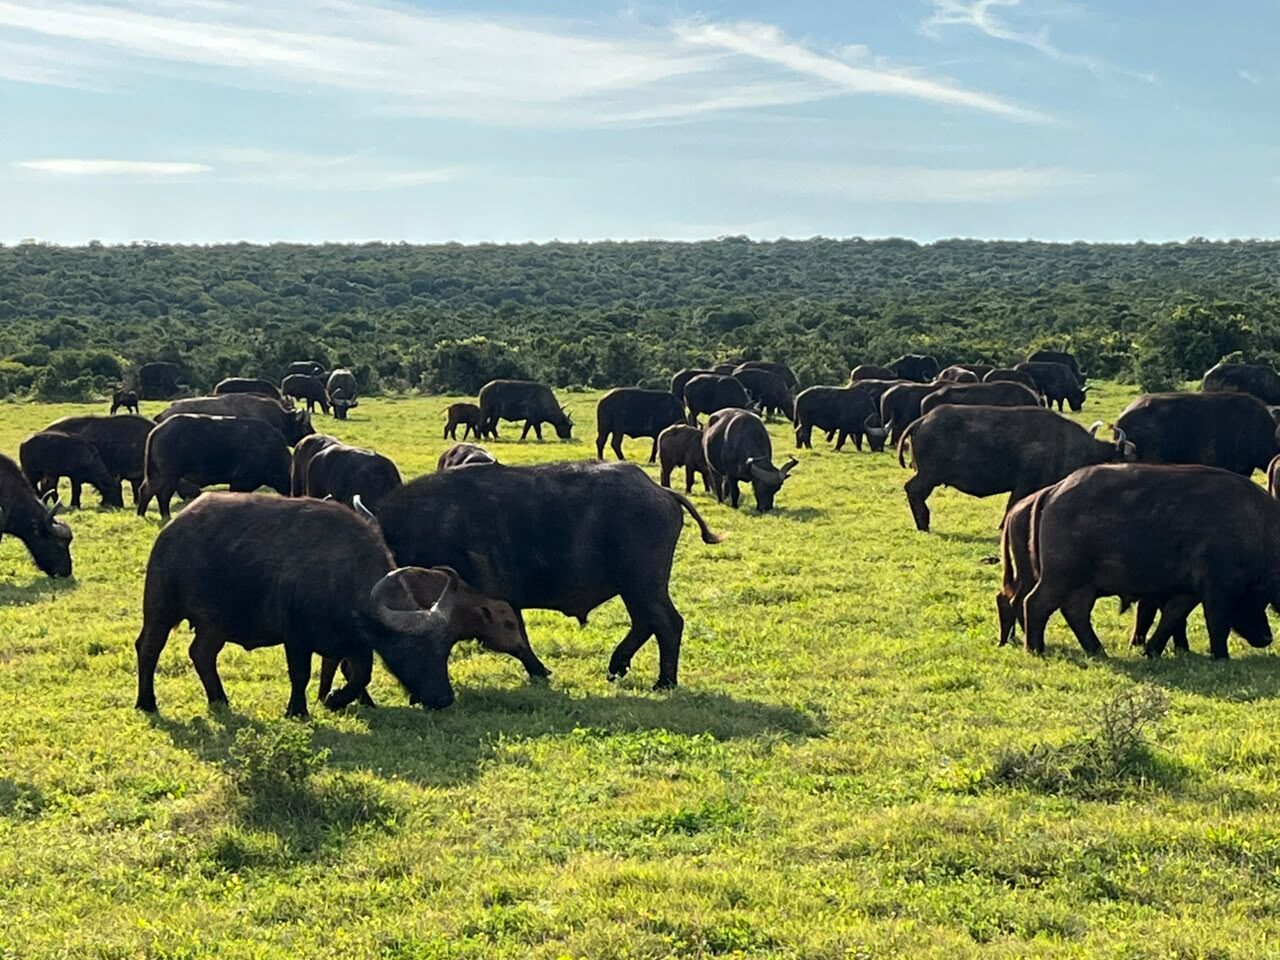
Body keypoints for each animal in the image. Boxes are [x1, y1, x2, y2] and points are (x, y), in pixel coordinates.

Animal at [133, 493, 521, 715]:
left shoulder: (357, 642)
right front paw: (298, 710)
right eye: (414, 651)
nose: (443, 699)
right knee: (148, 648)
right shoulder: (296, 638)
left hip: (215, 623)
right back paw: (147, 703)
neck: (339, 575)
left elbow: (359, 675)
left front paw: (336, 699)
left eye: (444, 652)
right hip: (160, 607)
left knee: (201, 654)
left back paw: (219, 699)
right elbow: (301, 674)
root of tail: (174, 526)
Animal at [137, 415, 291, 520]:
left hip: (156, 473)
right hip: (170, 475)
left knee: (146, 490)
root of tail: (156, 430)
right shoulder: (241, 482)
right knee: (163, 494)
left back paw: (142, 514)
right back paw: (166, 516)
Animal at [365, 460, 723, 689]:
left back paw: (664, 682)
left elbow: (515, 636)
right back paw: (616, 667)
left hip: (645, 582)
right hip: (634, 587)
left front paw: (539, 671)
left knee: (667, 622)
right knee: (646, 622)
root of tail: (660, 491)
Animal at [898, 405, 1135, 532]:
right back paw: (923, 522)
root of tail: (922, 420)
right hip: (929, 475)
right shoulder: (1025, 484)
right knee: (912, 489)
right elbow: (1013, 504)